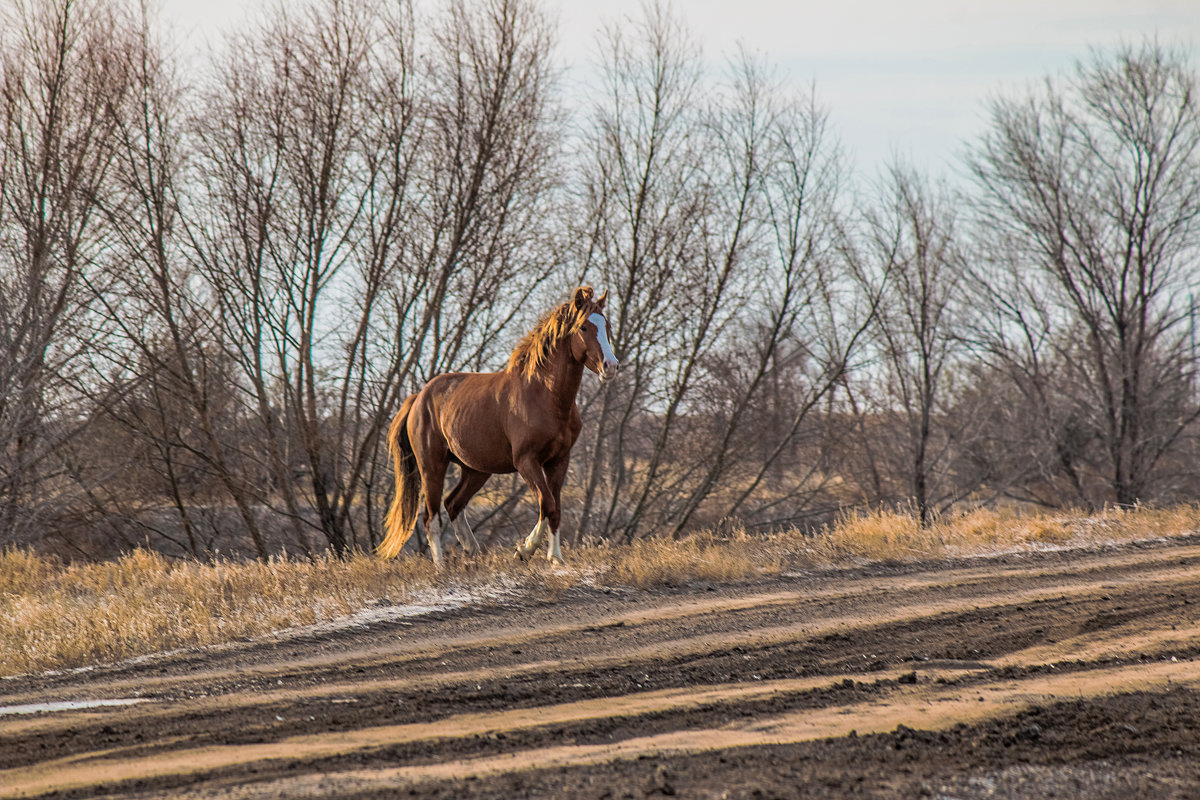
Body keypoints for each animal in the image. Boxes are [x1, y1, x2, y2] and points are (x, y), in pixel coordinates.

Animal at [374, 284, 619, 566]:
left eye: (607, 326)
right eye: (584, 327)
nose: (611, 366)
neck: (543, 395)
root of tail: (418, 398)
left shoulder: (559, 460)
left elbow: (555, 508)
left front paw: (555, 558)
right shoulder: (526, 461)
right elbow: (546, 503)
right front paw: (524, 550)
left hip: (475, 470)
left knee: (453, 504)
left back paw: (472, 550)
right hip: (431, 467)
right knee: (431, 517)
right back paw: (441, 566)